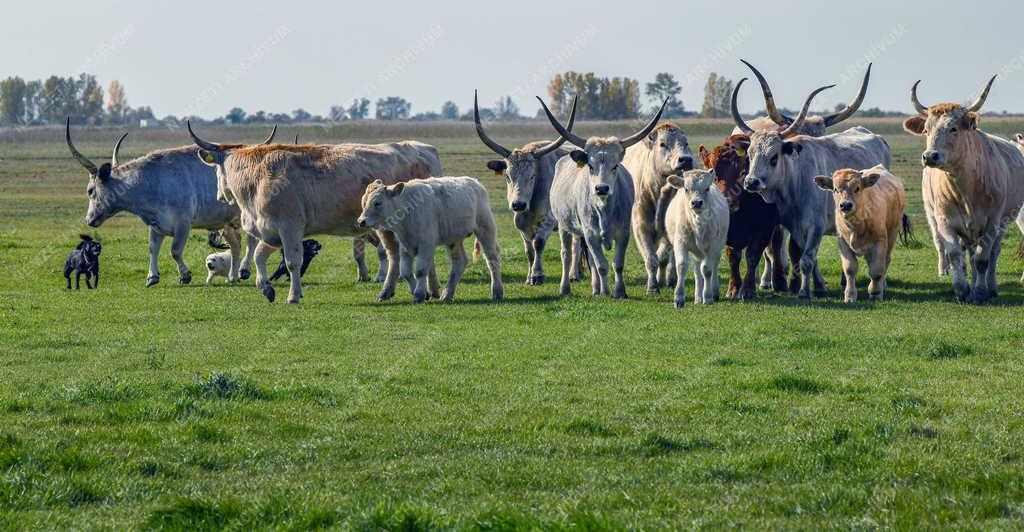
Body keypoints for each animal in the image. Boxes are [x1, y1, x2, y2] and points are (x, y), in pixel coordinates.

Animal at [66, 119, 262, 286]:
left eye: (90, 190)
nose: (89, 220)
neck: (152, 181)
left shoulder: (183, 223)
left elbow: (175, 250)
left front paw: (185, 275)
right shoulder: (155, 223)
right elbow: (153, 248)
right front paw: (152, 277)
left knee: (251, 241)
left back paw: (244, 270)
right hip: (225, 221)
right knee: (236, 244)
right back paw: (233, 276)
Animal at [540, 96, 667, 298]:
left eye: (615, 166)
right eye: (590, 166)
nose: (601, 188)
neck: (604, 209)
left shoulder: (623, 233)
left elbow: (616, 264)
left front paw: (619, 291)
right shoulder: (590, 233)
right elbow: (602, 265)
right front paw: (607, 292)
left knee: (591, 261)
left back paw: (596, 288)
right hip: (563, 226)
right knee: (566, 255)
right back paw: (566, 288)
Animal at [700, 133, 786, 298]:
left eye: (742, 173)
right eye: (712, 174)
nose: (728, 201)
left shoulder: (763, 230)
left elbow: (753, 256)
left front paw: (747, 289)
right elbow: (733, 257)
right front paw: (733, 288)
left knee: (777, 246)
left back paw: (779, 281)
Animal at [737, 81, 888, 298]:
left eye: (774, 157)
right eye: (749, 154)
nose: (751, 182)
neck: (796, 182)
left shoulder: (815, 226)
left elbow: (807, 260)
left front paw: (805, 291)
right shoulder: (796, 228)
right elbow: (807, 257)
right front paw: (816, 287)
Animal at [815, 164, 913, 302]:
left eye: (857, 188)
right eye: (835, 189)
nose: (845, 205)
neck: (856, 226)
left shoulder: (880, 241)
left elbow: (877, 270)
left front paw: (875, 293)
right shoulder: (842, 243)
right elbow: (850, 269)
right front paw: (850, 295)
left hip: (892, 233)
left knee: (886, 261)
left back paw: (882, 285)